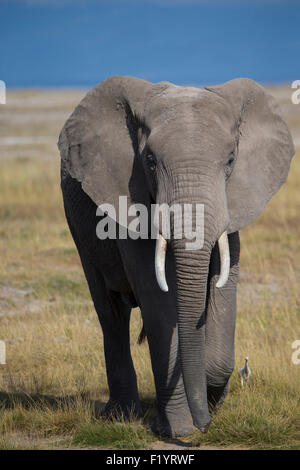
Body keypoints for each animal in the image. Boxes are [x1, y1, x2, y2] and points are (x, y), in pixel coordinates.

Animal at [57, 75, 294, 438]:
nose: (205, 424)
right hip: (79, 228)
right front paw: (180, 431)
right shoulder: (129, 199)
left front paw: (212, 400)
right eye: (151, 161)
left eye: (230, 160)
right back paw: (121, 415)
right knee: (110, 311)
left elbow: (224, 284)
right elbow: (157, 300)